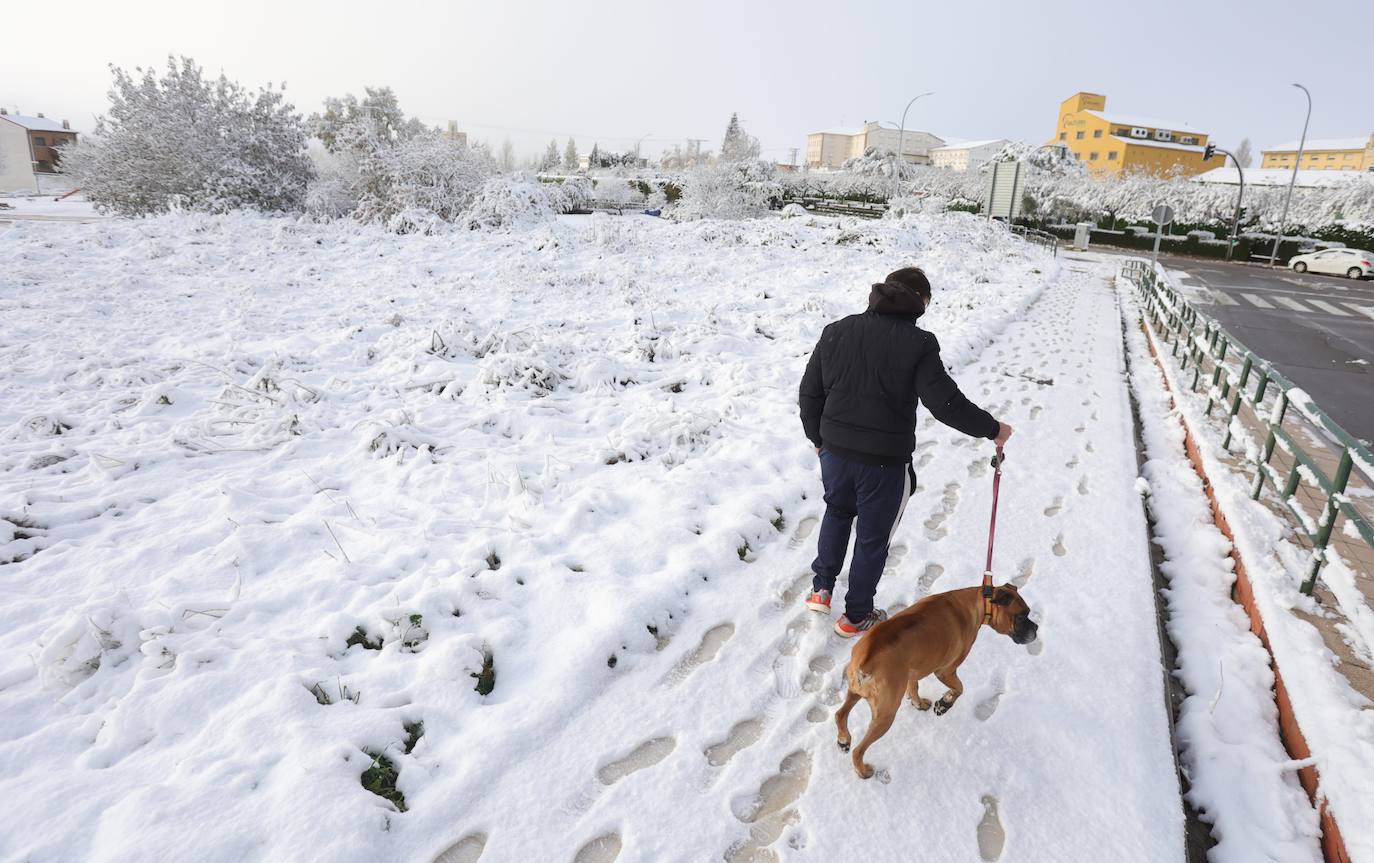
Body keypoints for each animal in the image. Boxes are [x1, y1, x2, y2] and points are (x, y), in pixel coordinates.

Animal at [829, 582, 1033, 780]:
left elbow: (914, 687)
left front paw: (918, 703)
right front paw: (944, 704)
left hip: (855, 692)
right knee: (858, 750)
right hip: (885, 715)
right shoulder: (946, 671)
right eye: (1022, 616)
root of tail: (867, 659)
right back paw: (862, 771)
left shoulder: (912, 670)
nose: (1036, 628)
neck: (979, 601)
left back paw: (843, 740)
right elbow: (960, 688)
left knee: (840, 715)